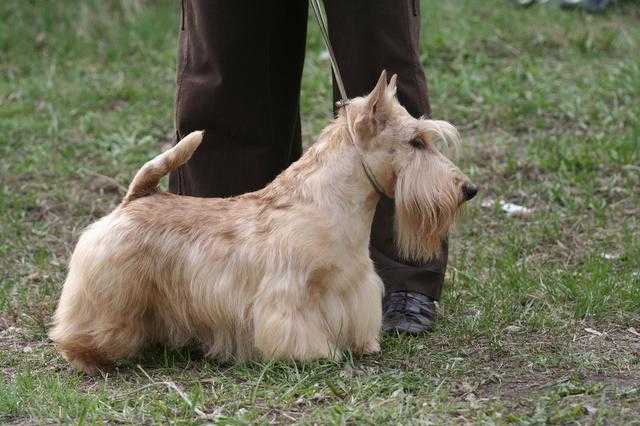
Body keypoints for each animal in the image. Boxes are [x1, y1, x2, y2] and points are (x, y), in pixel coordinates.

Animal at [50, 70, 478, 372]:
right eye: (416, 142)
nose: (468, 189)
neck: (328, 203)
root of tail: (137, 196)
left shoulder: (353, 285)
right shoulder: (290, 291)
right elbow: (296, 325)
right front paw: (315, 354)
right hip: (111, 288)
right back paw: (87, 353)